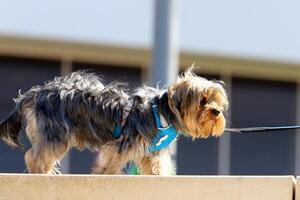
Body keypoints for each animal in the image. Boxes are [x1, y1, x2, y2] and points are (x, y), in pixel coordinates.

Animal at [0, 68, 227, 174]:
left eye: (216, 100)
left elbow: (155, 169)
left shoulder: (150, 153)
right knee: (35, 156)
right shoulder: (121, 146)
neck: (163, 113)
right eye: (202, 100)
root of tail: (35, 93)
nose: (216, 112)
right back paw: (42, 173)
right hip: (55, 134)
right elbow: (110, 165)